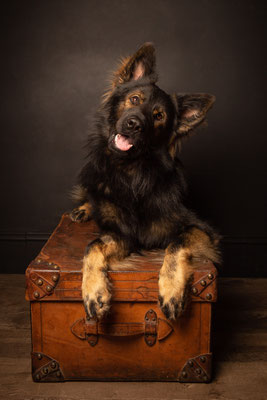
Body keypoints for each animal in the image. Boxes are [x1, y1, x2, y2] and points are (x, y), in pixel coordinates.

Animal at [70, 42, 221, 320]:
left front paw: (171, 291)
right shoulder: (121, 234)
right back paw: (83, 209)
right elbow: (92, 246)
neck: (132, 173)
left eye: (159, 116)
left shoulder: (202, 231)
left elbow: (175, 244)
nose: (134, 124)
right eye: (135, 99)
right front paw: (94, 292)